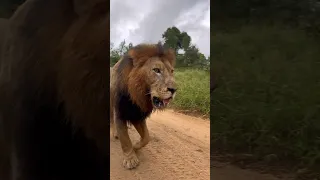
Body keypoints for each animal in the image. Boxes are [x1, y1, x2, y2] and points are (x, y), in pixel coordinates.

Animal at [109, 41, 176, 169]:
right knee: (112, 121)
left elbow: (146, 137)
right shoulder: (121, 111)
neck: (138, 95)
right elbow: (125, 138)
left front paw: (135, 146)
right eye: (156, 70)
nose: (174, 90)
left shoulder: (137, 114)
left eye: (171, 71)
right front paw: (130, 159)